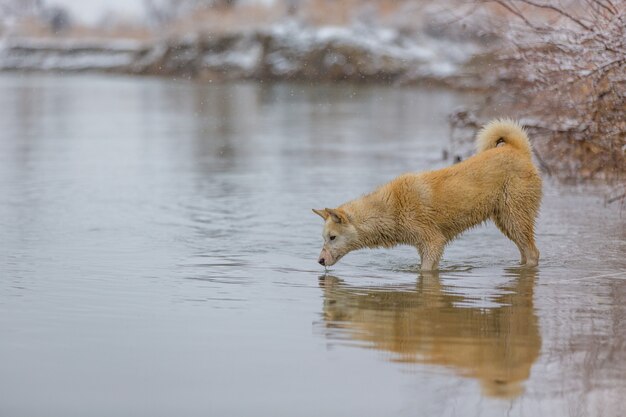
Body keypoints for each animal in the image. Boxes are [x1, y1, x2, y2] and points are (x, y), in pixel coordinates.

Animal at [312, 120, 540, 270]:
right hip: (505, 221)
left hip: (515, 218)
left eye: (332, 237)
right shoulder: (424, 246)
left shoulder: (433, 242)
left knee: (533, 253)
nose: (320, 261)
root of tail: (518, 150)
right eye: (323, 238)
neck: (390, 209)